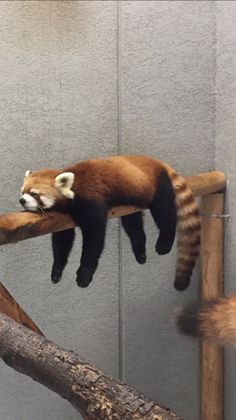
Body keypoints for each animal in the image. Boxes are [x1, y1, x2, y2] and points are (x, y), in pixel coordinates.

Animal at [19, 156, 201, 290]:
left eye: (34, 194)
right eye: (22, 192)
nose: (22, 200)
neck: (74, 191)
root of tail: (155, 161)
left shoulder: (92, 201)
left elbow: (94, 239)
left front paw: (84, 275)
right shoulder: (62, 219)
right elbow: (62, 242)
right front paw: (56, 270)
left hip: (158, 187)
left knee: (165, 213)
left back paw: (164, 244)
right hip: (131, 201)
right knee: (134, 226)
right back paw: (140, 252)